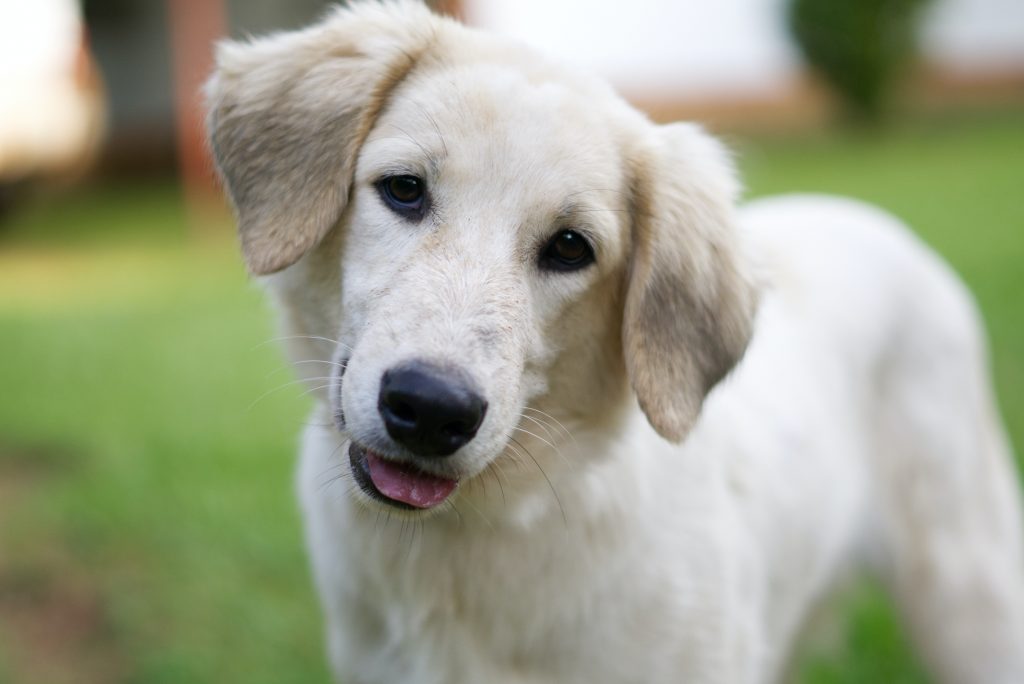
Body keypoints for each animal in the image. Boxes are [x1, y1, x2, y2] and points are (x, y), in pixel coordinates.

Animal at [201, 2, 1024, 679]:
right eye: (404, 189)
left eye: (571, 248)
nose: (432, 410)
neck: (463, 543)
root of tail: (869, 217)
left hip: (970, 600)